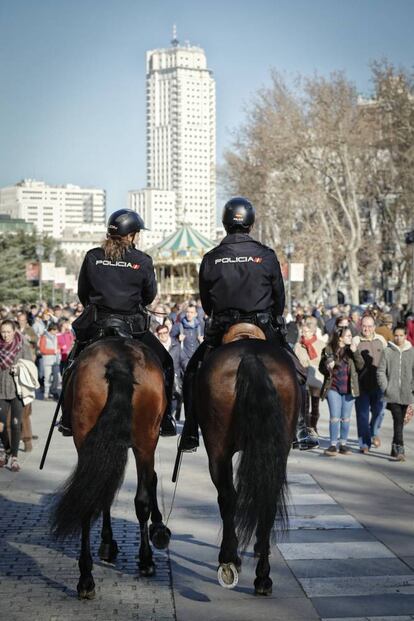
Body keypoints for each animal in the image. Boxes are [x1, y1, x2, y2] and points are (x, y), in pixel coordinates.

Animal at [51, 336, 171, 600]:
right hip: (146, 440)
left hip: (90, 438)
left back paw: (86, 579)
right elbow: (150, 482)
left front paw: (107, 544)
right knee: (141, 499)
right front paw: (158, 530)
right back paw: (145, 560)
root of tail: (120, 361)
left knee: (89, 496)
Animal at [196, 330, 300, 596]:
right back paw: (263, 576)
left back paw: (229, 559)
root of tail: (250, 356)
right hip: (277, 448)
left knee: (227, 497)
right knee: (267, 500)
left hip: (217, 449)